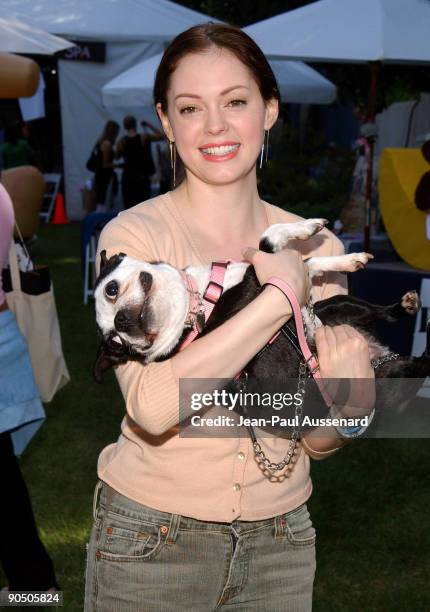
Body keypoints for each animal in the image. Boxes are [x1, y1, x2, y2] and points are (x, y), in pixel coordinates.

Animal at [92, 219, 428, 396]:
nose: (121, 322)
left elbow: (310, 262)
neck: (198, 306)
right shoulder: (260, 283)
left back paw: (404, 306)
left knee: (381, 314)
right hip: (389, 380)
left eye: (111, 289)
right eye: (117, 343)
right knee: (422, 363)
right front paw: (307, 228)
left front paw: (348, 259)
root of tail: (378, 356)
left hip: (340, 305)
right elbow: (267, 238)